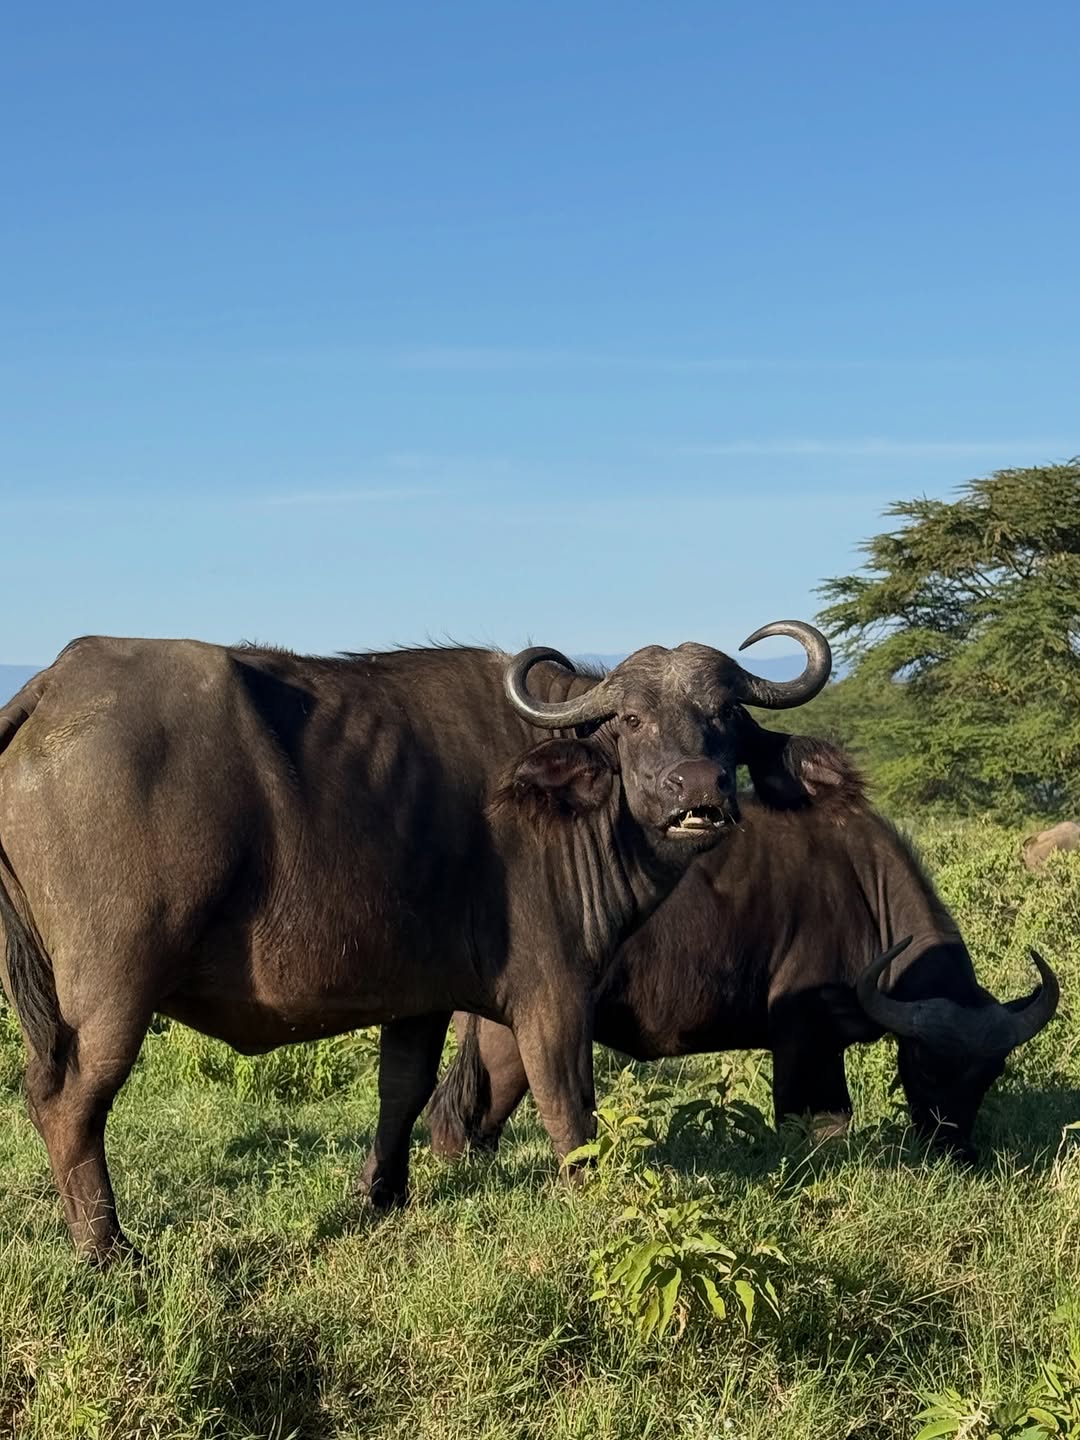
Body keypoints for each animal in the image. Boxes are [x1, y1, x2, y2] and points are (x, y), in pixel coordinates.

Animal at [0, 623, 834, 1262]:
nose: (699, 790)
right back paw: (108, 1248)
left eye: (724, 715)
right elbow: (568, 1102)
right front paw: (593, 1194)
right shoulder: (556, 990)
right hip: (114, 986)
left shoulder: (420, 998)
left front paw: (381, 1195)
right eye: (630, 720)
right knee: (67, 1101)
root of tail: (55, 685)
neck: (569, 804)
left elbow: (401, 1090)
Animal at [429, 756, 1060, 1167]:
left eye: (990, 1072)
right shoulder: (802, 1038)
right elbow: (819, 1126)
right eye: (926, 1067)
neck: (864, 888)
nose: (959, 1152)